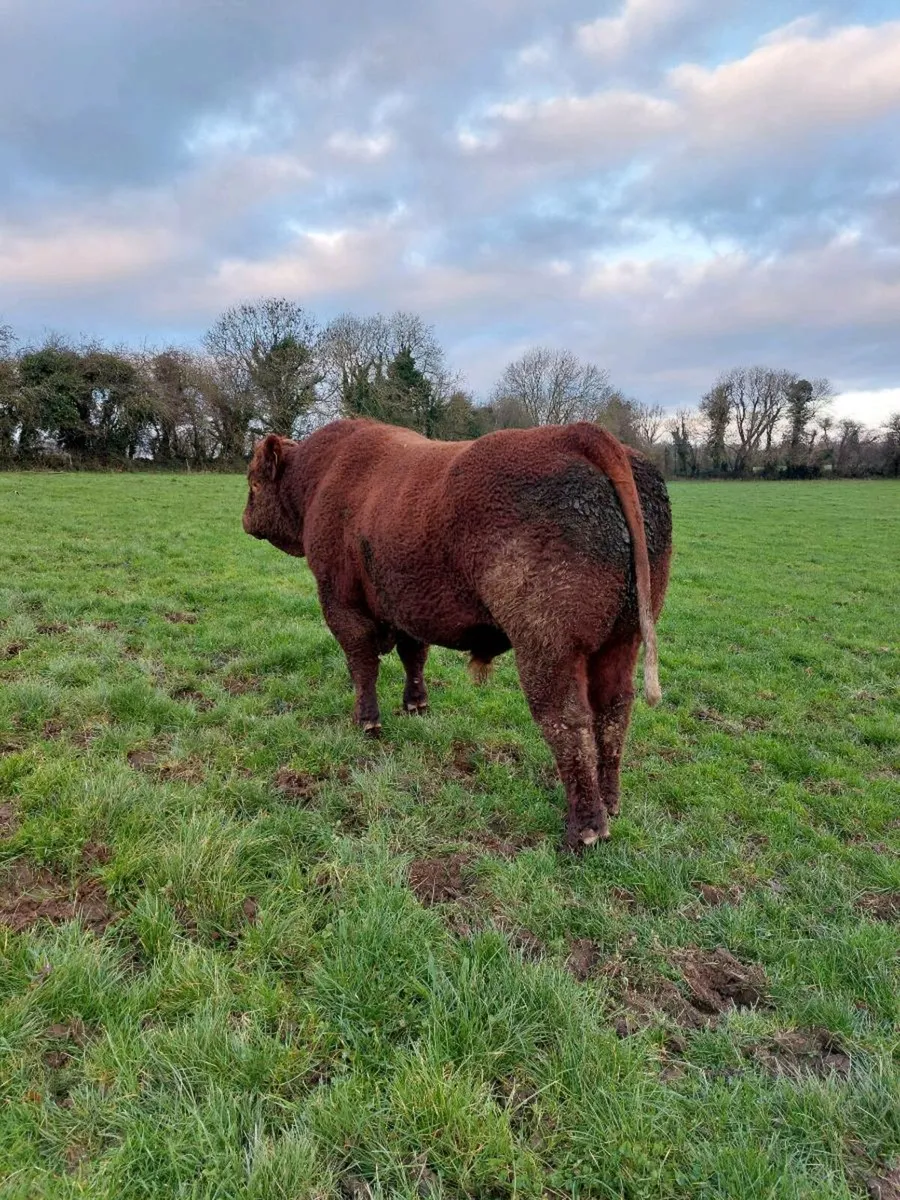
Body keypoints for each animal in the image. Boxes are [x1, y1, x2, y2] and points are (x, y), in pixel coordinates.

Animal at [242, 417, 672, 849]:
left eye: (253, 482)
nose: (245, 520)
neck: (322, 477)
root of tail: (579, 433)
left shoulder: (341, 604)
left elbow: (362, 667)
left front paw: (367, 722)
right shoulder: (408, 607)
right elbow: (413, 655)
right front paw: (416, 705)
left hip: (549, 646)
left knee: (568, 721)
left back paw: (585, 828)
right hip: (623, 638)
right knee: (614, 709)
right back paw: (610, 803)